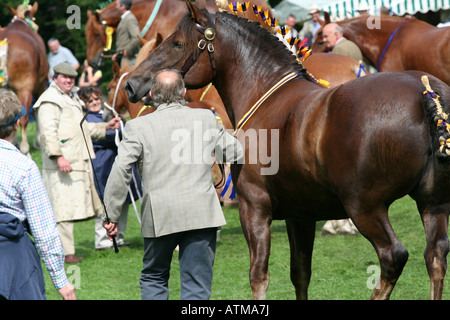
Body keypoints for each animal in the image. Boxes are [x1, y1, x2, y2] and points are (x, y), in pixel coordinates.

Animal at [0, 2, 47, 155]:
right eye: (36, 26)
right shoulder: (41, 85)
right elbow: (37, 110)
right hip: (25, 88)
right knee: (24, 118)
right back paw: (26, 150)